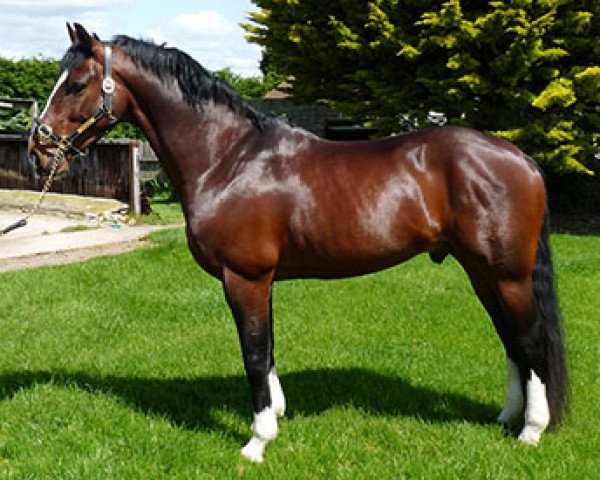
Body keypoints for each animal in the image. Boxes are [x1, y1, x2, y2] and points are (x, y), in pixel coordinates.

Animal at [30, 24, 568, 464]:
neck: (229, 158)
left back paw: (532, 431)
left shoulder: (244, 278)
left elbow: (253, 354)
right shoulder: (260, 281)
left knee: (532, 341)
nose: (38, 151)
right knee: (512, 341)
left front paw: (257, 440)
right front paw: (278, 415)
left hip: (508, 275)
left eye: (75, 84)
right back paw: (507, 418)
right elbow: (266, 350)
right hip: (481, 272)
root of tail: (521, 158)